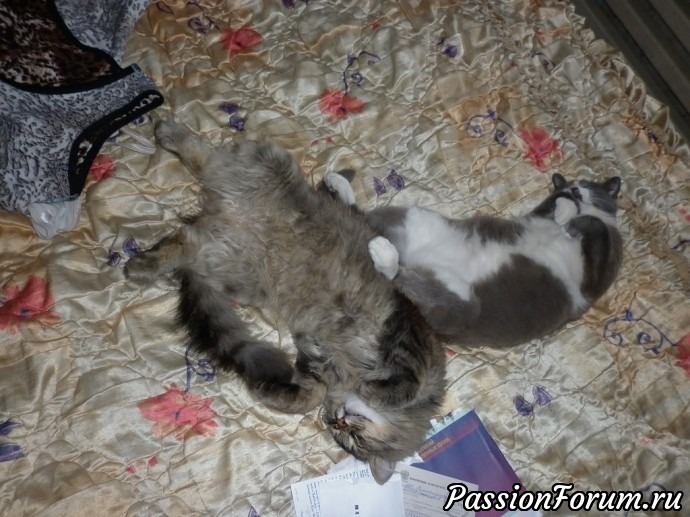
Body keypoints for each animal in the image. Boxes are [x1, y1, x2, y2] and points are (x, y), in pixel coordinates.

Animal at [124, 121, 447, 484]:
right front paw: (373, 390)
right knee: (203, 155)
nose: (340, 420)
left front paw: (270, 392)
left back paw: (141, 264)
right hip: (268, 168)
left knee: (182, 240)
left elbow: (309, 395)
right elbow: (403, 386)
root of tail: (224, 217)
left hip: (233, 268)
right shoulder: (409, 339)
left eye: (348, 437)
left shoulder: (317, 359)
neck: (348, 373)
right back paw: (170, 131)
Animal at [323, 171, 623, 347]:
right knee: (361, 218)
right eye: (573, 184)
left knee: (410, 281)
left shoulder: (597, 274)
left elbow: (597, 227)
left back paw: (382, 251)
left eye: (588, 185)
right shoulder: (541, 216)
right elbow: (565, 211)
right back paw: (339, 187)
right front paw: (566, 210)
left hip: (463, 305)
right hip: (415, 217)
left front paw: (572, 218)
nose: (575, 189)